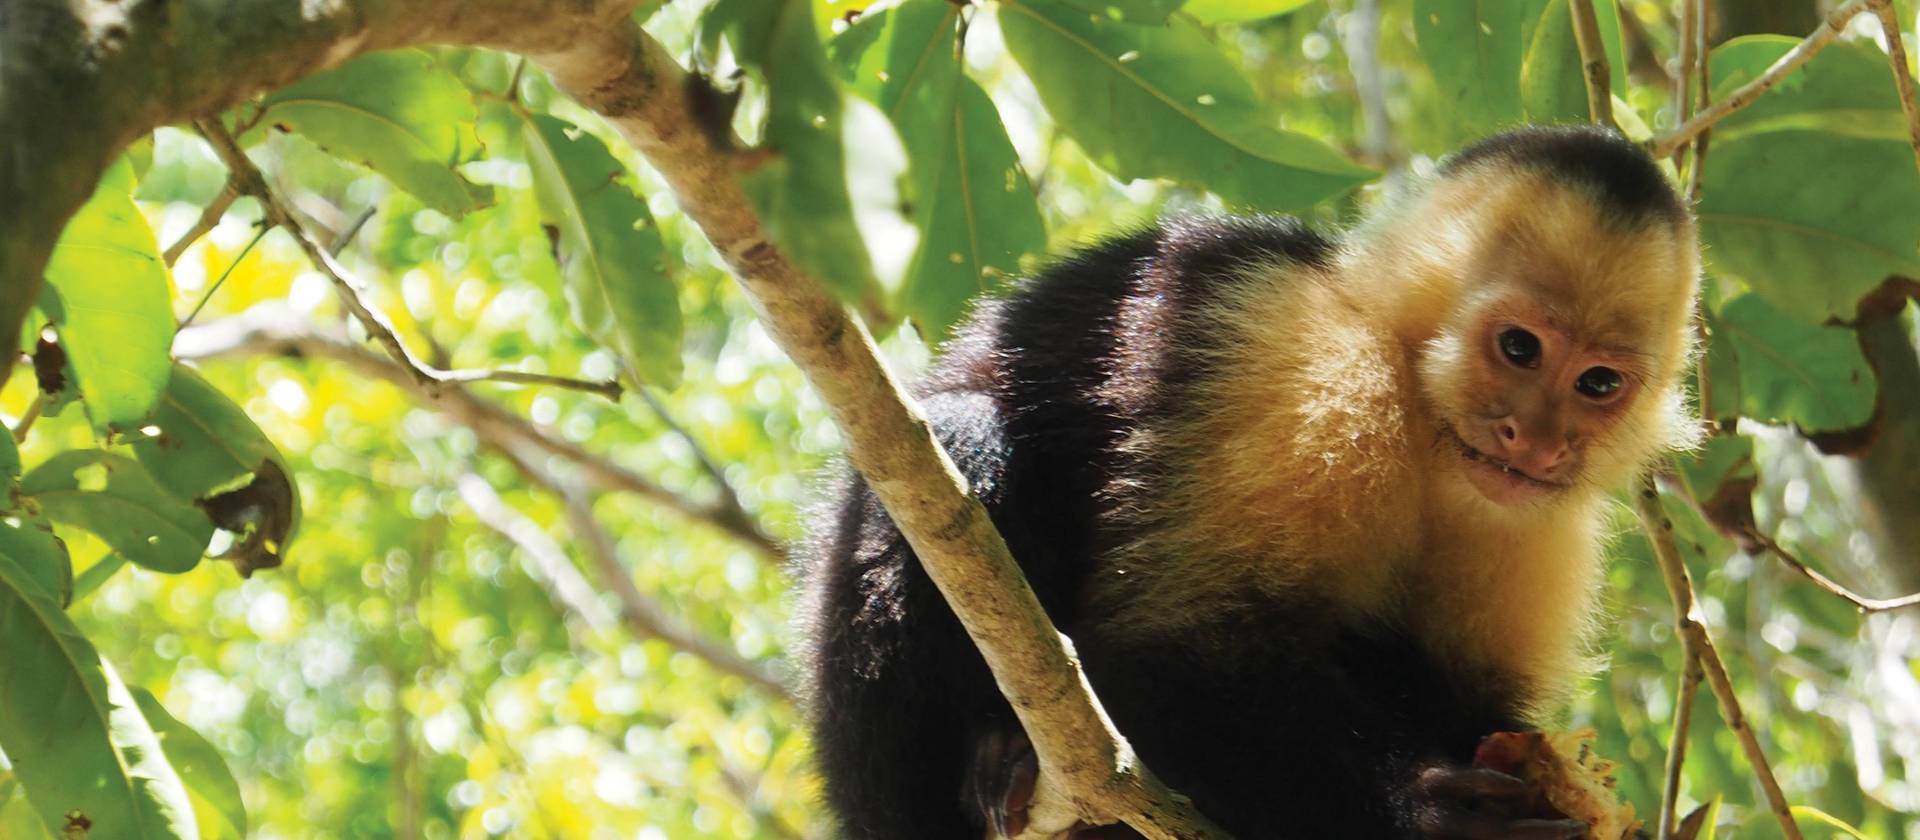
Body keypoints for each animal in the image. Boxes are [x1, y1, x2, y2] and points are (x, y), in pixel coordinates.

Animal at [795, 126, 1701, 839]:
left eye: (1597, 383)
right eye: (1518, 348)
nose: (1537, 440)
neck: (1422, 423)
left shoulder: (1540, 524)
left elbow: (1472, 707)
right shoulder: (1302, 358)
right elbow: (1166, 650)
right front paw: (1428, 815)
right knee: (963, 443)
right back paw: (995, 764)